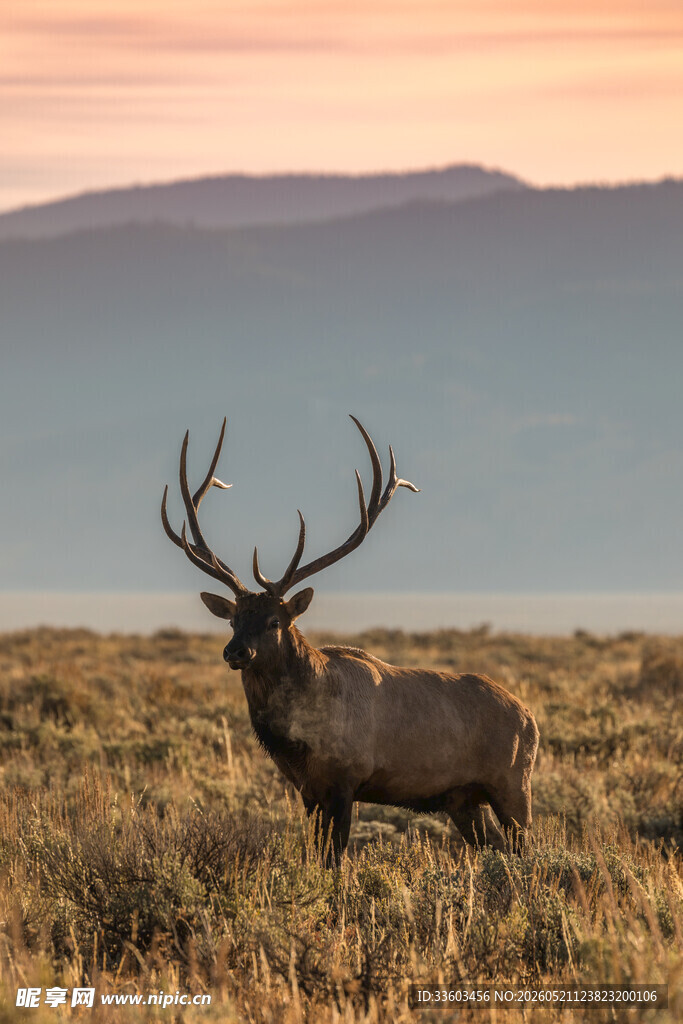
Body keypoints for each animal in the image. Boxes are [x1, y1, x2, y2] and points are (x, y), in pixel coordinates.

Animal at [161, 416, 539, 863]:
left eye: (274, 621)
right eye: (234, 620)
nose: (235, 651)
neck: (296, 741)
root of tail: (530, 718)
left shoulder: (345, 781)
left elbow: (336, 858)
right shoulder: (308, 791)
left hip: (513, 784)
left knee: (527, 850)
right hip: (463, 799)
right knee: (495, 848)